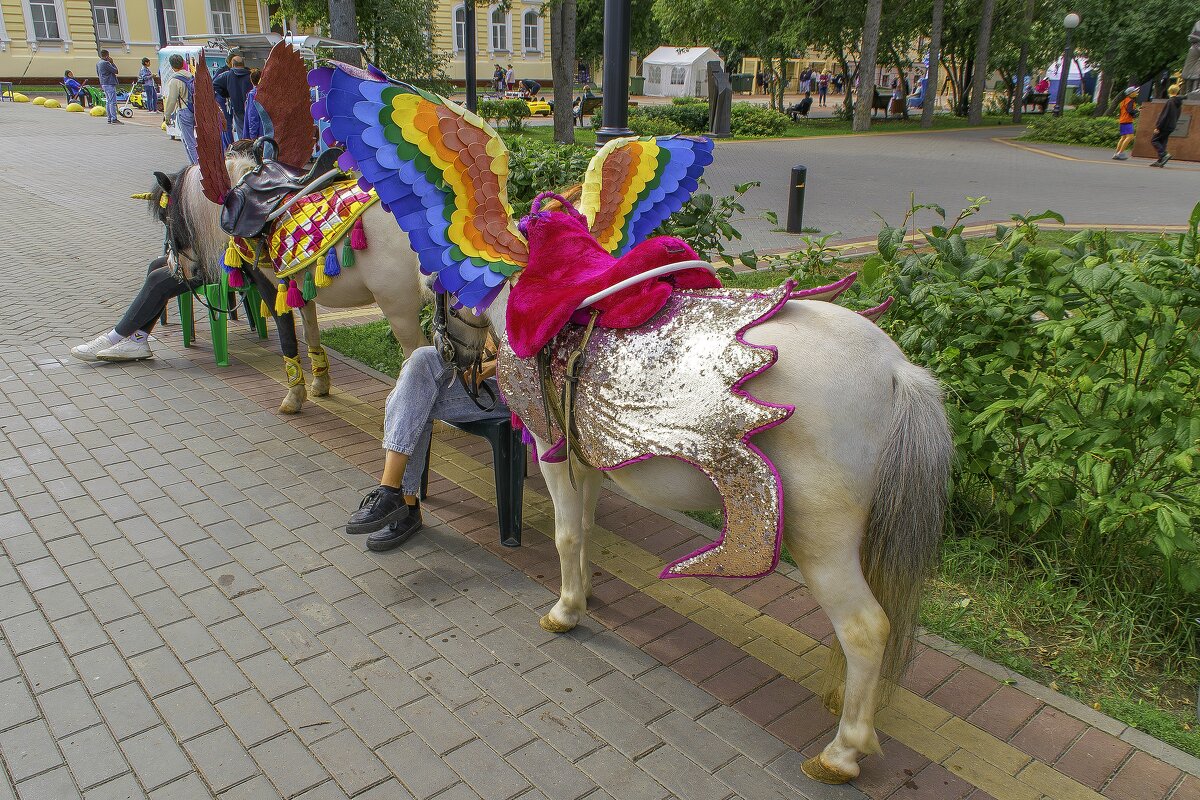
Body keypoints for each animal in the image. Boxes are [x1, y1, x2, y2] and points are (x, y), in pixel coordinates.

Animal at [147, 144, 427, 417]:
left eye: (165, 215)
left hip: (398, 309)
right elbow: (310, 332)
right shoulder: (300, 288)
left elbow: (287, 338)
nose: (175, 267)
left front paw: (294, 396)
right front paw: (320, 383)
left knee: (416, 354)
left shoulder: (270, 287)